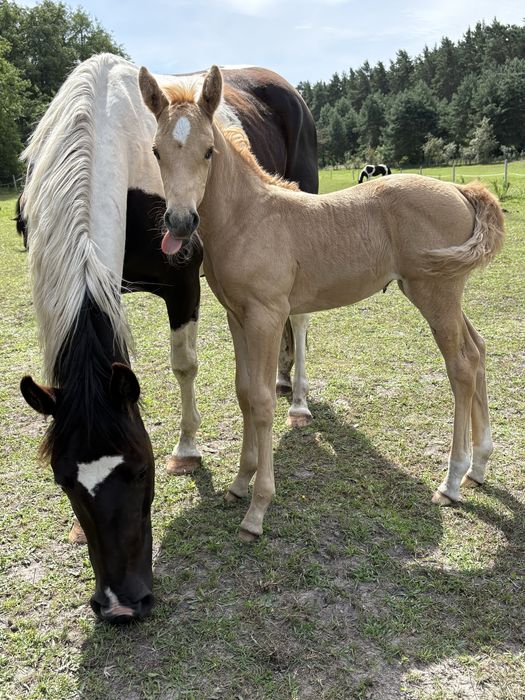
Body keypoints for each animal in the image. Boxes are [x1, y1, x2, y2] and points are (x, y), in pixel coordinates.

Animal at [19, 53, 318, 622]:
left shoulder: (182, 285)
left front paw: (187, 448)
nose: (121, 605)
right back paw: (283, 381)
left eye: (141, 470)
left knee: (300, 319)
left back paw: (299, 402)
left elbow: (184, 365)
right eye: (64, 480)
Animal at [140, 64, 504, 541]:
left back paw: (452, 480)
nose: (181, 223)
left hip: (435, 293)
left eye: (208, 152)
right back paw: (479, 467)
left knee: (460, 366)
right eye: (157, 151)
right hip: (444, 291)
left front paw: (257, 509)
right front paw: (239, 483)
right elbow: (243, 393)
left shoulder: (267, 316)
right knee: (477, 351)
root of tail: (462, 192)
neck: (248, 218)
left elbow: (262, 401)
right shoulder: (238, 316)